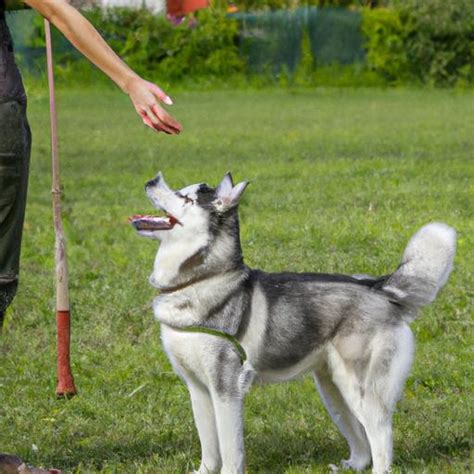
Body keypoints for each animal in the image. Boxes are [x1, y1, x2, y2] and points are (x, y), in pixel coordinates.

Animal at [130, 172, 456, 472]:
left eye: (185, 198)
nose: (152, 179)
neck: (199, 281)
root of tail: (381, 288)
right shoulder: (198, 388)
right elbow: (209, 450)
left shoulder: (227, 390)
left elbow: (231, 452)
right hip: (331, 389)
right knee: (360, 437)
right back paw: (352, 464)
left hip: (361, 388)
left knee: (381, 434)